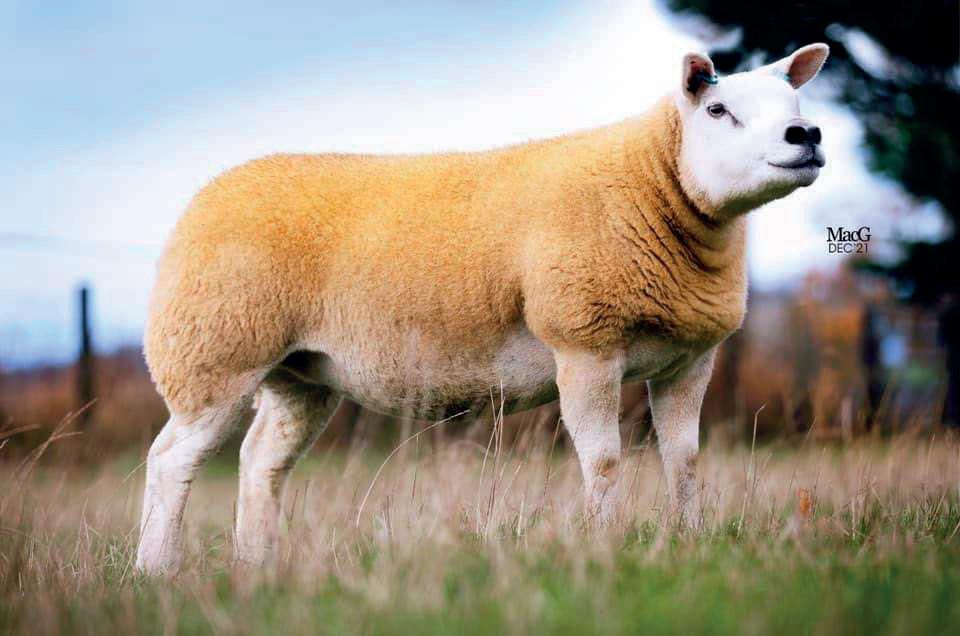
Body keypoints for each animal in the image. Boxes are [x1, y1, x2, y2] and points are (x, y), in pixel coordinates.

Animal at [136, 44, 830, 574]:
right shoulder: (583, 342)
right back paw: (156, 570)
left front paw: (688, 541)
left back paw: (256, 565)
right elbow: (603, 459)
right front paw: (604, 543)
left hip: (299, 373)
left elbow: (683, 460)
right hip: (215, 351)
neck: (653, 185)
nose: (807, 136)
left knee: (261, 462)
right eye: (717, 109)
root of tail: (205, 195)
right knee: (171, 461)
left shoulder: (689, 360)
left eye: (795, 107)